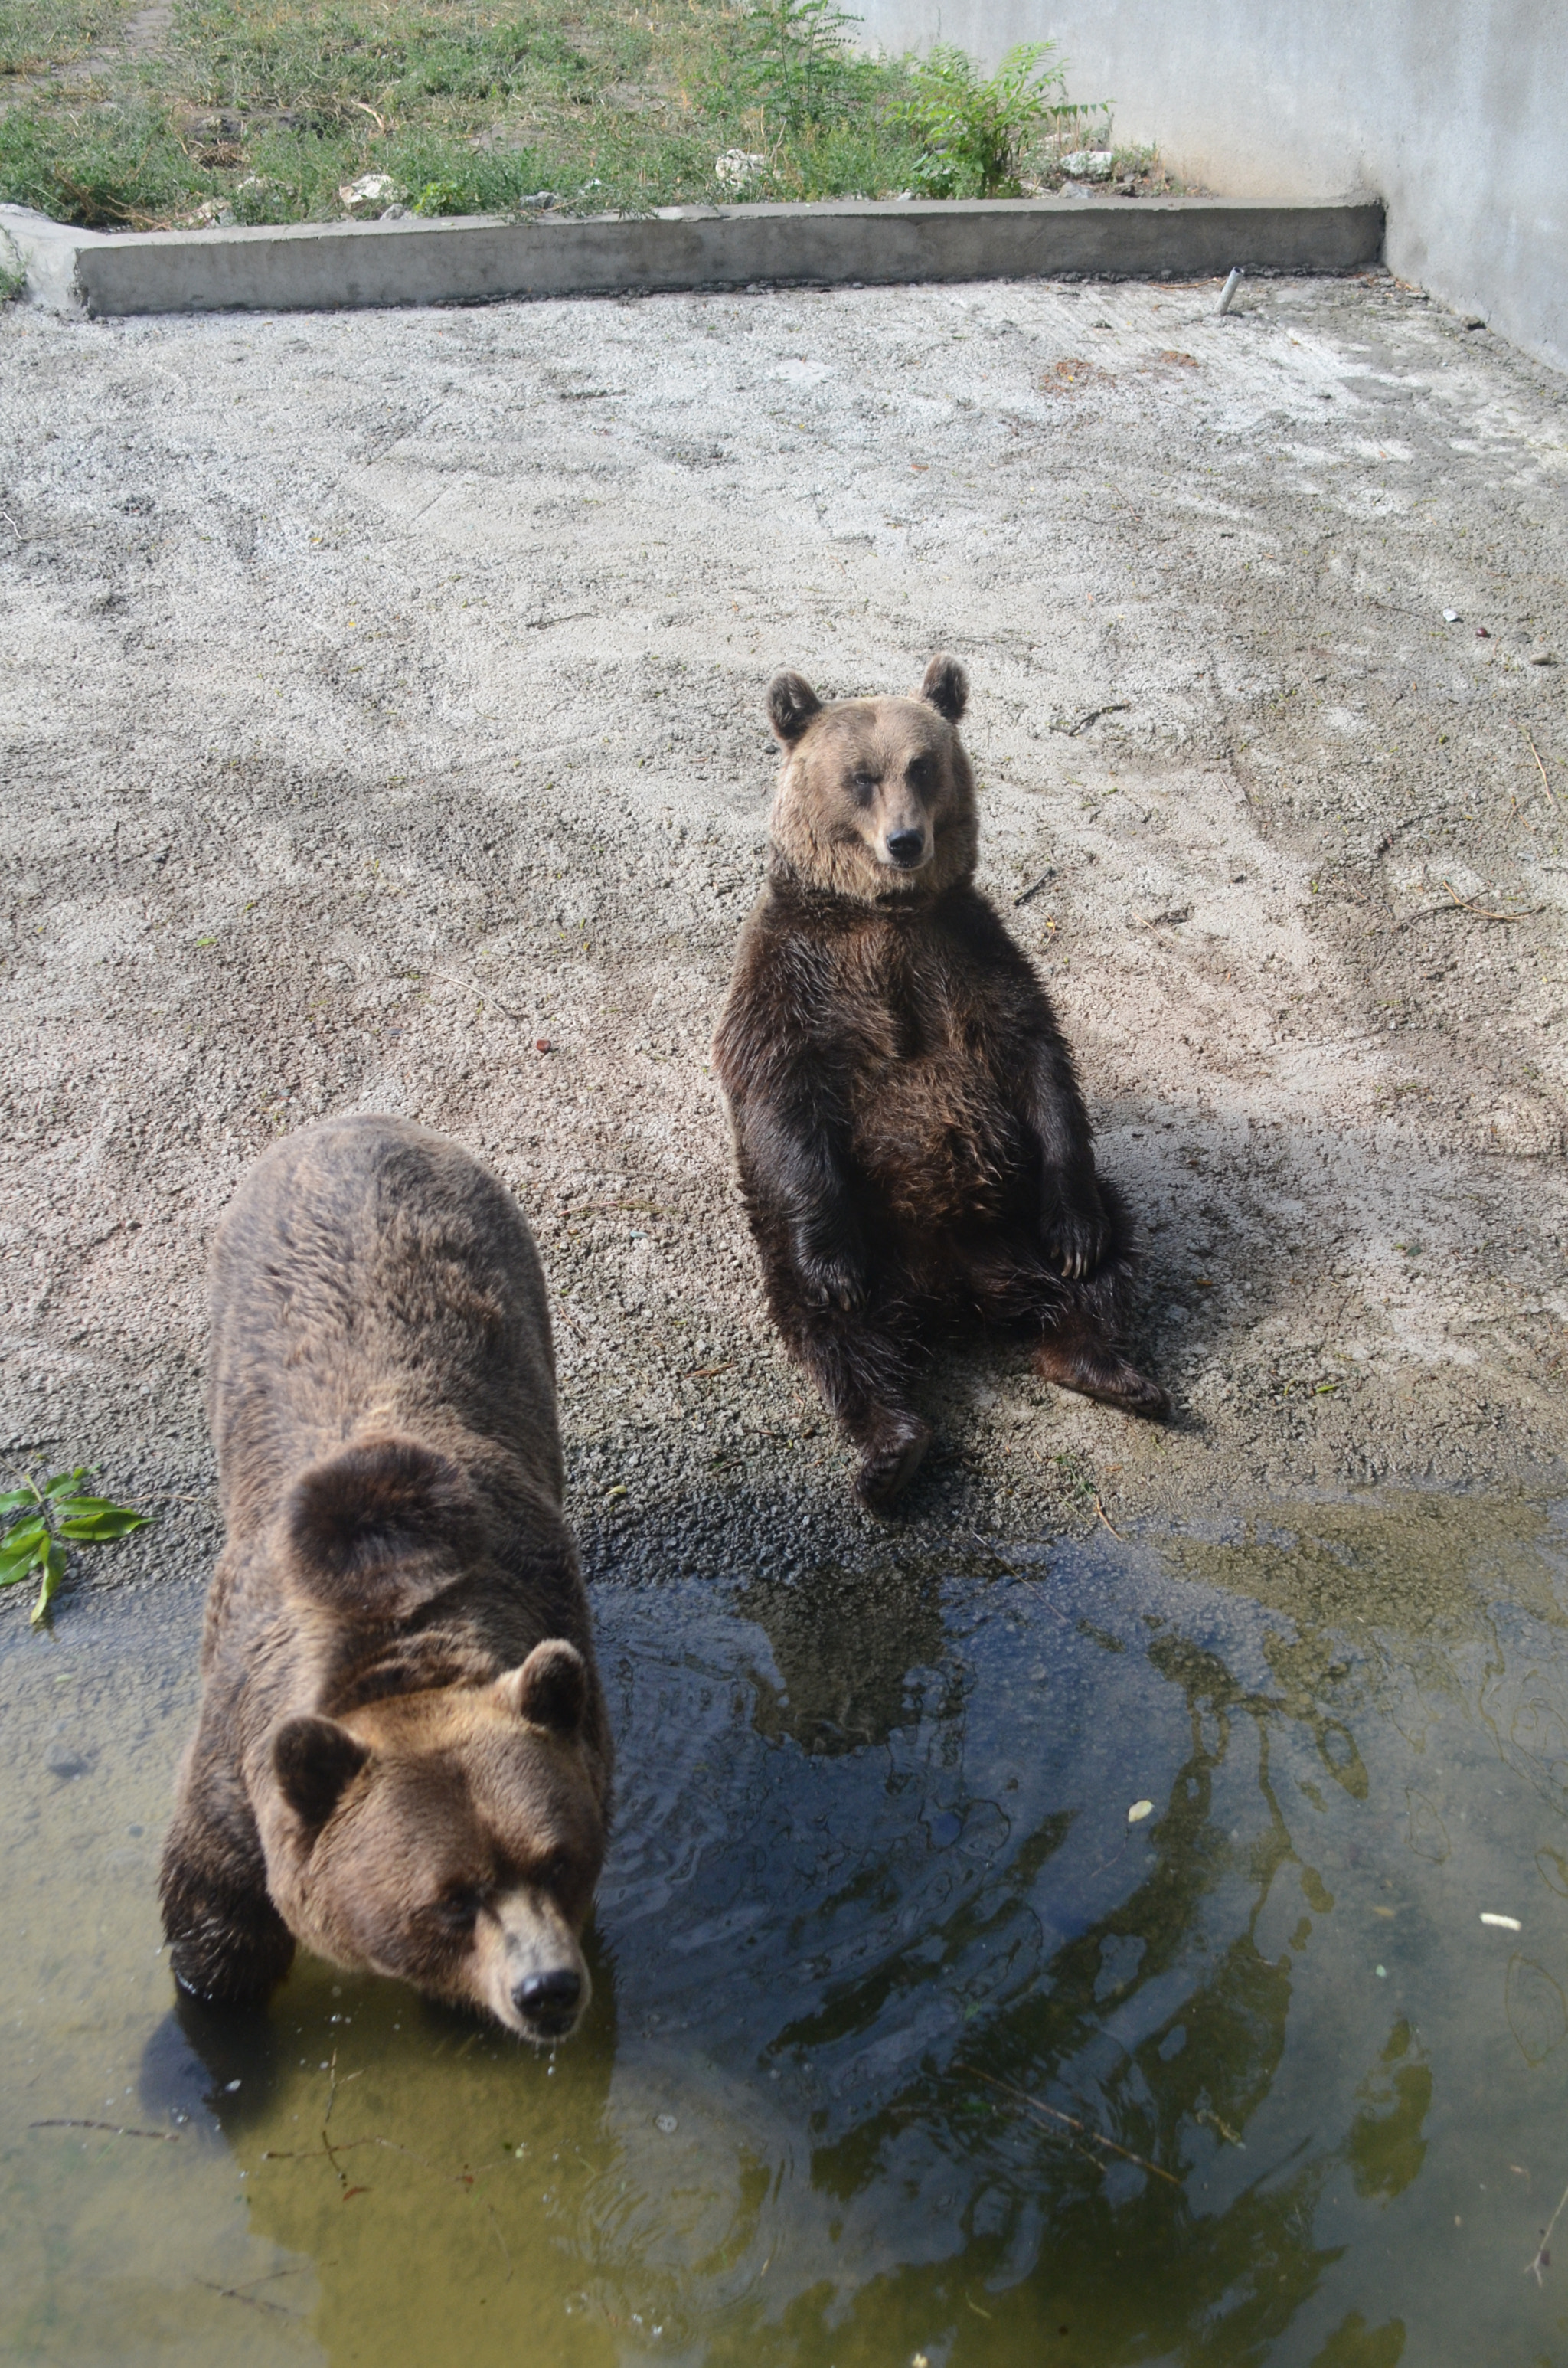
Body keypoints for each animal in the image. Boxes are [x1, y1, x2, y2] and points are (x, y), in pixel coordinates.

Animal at [159, 1117, 616, 2046]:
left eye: (558, 1859)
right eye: (450, 1898)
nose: (547, 1988)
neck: (403, 1634)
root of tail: (354, 1122)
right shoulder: (238, 1772)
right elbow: (215, 1920)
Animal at [710, 658, 1165, 1506]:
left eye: (922, 765)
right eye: (860, 775)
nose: (905, 840)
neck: (878, 914)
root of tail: (955, 1291)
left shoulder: (966, 949)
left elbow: (1037, 1057)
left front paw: (1077, 1236)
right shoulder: (794, 971)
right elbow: (779, 1090)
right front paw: (834, 1270)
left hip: (1019, 1215)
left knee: (1107, 1253)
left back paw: (1105, 1363)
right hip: (839, 1241)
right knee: (832, 1333)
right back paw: (892, 1448)